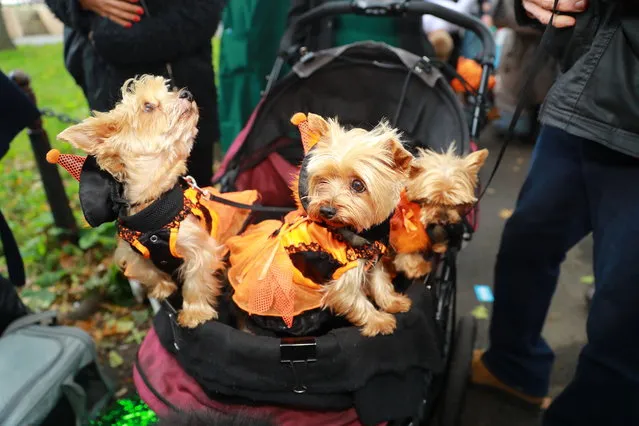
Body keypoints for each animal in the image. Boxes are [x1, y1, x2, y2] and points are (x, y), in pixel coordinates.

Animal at [55, 75, 255, 328]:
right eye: (148, 106)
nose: (187, 93)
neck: (152, 207)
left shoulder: (200, 249)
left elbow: (195, 282)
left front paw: (194, 314)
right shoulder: (131, 254)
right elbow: (147, 273)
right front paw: (163, 288)